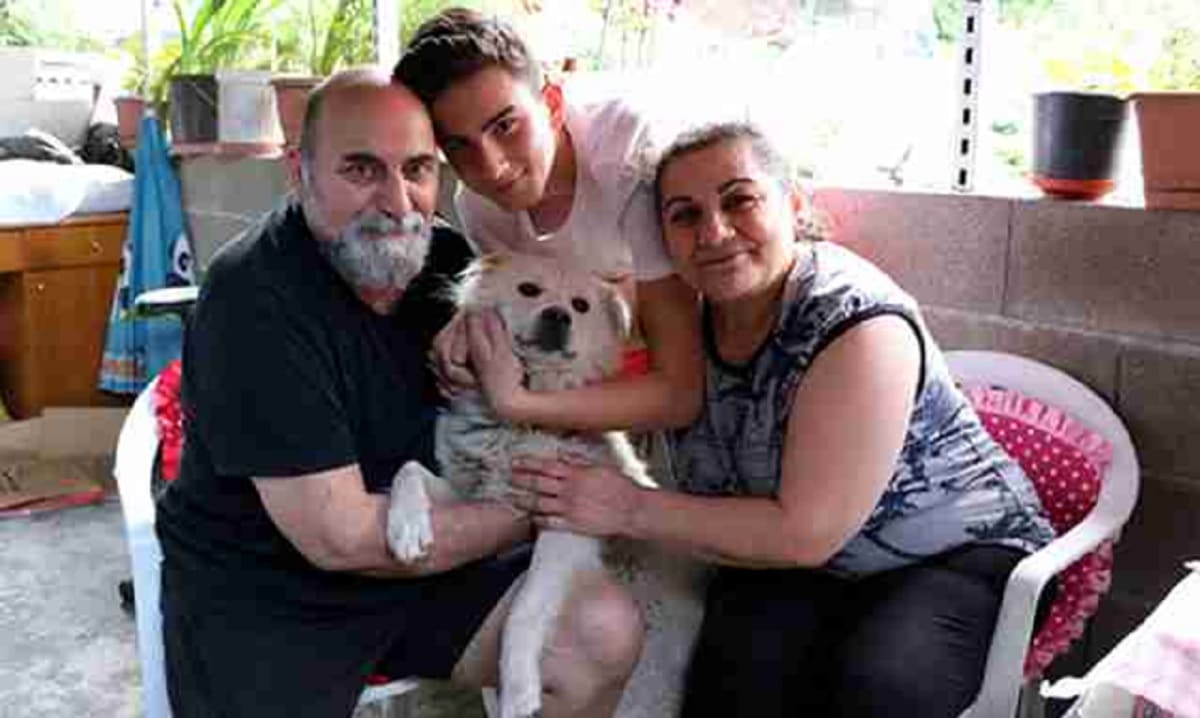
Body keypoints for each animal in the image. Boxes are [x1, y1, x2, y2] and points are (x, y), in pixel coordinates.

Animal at [386, 252, 652, 718]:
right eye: (529, 289)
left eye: (580, 306)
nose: (558, 315)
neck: (520, 422)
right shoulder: (477, 495)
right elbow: (409, 469)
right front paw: (406, 528)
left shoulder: (565, 522)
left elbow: (526, 608)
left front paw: (518, 687)